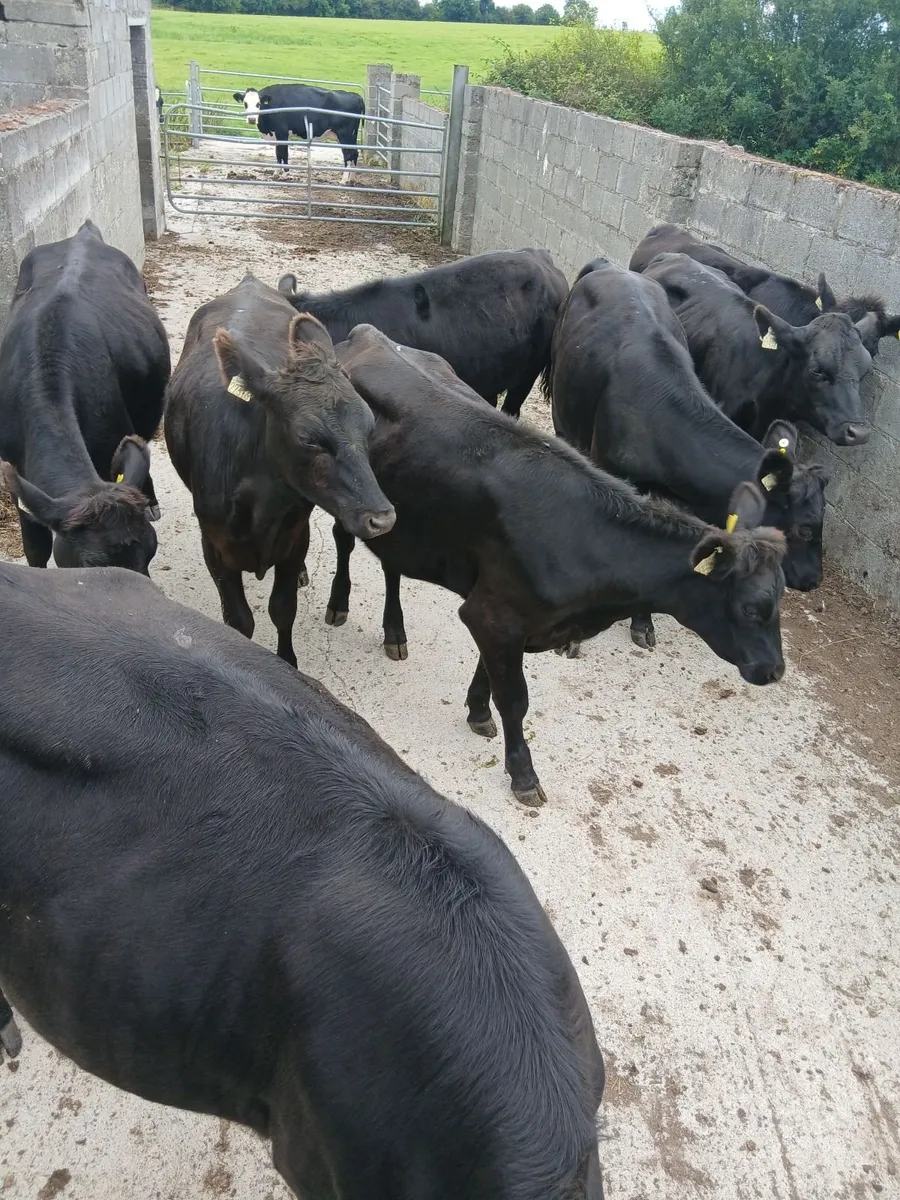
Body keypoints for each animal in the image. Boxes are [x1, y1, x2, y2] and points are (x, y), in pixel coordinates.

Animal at [164, 274, 395, 666]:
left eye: (369, 423)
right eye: (307, 438)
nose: (382, 518)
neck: (263, 505)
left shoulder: (294, 539)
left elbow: (283, 609)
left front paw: (287, 661)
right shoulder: (216, 549)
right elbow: (240, 621)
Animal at [233, 84, 365, 182]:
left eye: (258, 104)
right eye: (245, 103)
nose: (251, 119)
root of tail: (355, 95)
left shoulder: (282, 133)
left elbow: (283, 153)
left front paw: (285, 174)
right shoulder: (276, 135)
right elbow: (278, 154)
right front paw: (276, 172)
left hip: (344, 134)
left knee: (348, 154)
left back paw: (344, 179)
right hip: (351, 135)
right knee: (355, 153)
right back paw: (352, 179)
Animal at [322, 325, 786, 808]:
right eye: (752, 607)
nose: (775, 671)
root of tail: (366, 333)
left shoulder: (504, 612)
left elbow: (489, 674)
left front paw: (477, 709)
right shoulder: (494, 615)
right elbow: (515, 699)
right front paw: (523, 774)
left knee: (391, 565)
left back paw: (394, 632)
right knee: (344, 541)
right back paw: (339, 605)